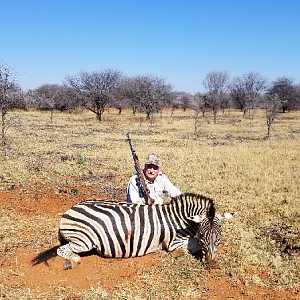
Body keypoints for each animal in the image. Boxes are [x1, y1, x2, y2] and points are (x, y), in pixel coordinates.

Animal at [31, 193, 236, 270]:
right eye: (203, 236)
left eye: (219, 236)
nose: (212, 265)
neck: (180, 220)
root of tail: (70, 210)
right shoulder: (174, 244)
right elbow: (187, 250)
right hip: (85, 240)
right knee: (63, 250)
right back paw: (73, 261)